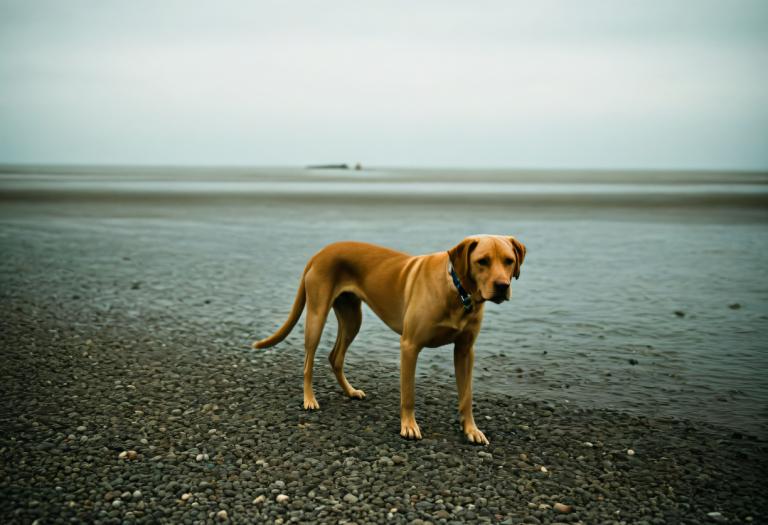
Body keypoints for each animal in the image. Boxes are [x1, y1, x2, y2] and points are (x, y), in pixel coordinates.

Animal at [255, 235, 524, 444]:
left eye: (509, 261)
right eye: (482, 261)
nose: (502, 286)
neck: (458, 292)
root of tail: (322, 251)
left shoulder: (465, 351)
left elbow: (466, 396)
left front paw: (470, 430)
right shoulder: (410, 346)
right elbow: (408, 394)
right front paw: (409, 426)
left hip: (352, 318)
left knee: (335, 357)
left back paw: (350, 391)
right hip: (316, 315)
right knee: (308, 362)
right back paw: (309, 399)